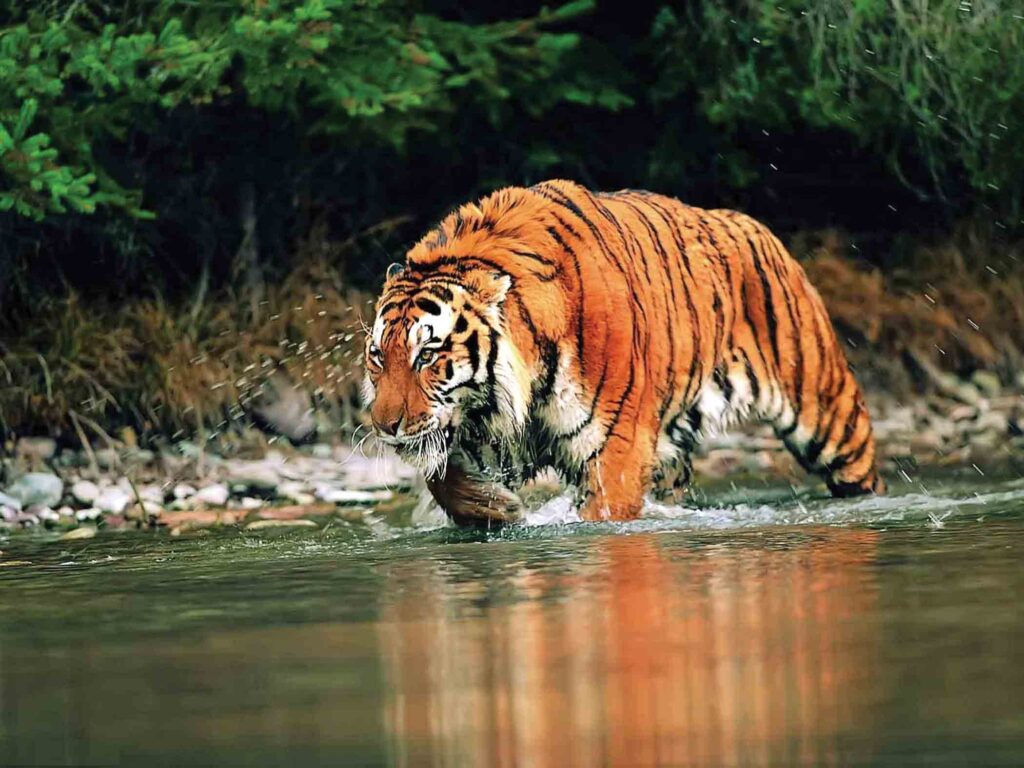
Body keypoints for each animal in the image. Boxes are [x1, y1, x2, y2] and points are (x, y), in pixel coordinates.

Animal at [363, 180, 884, 525]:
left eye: (427, 356)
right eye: (378, 357)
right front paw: (497, 509)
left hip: (829, 415)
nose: (384, 426)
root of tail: (755, 226)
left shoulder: (615, 449)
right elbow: (442, 478)